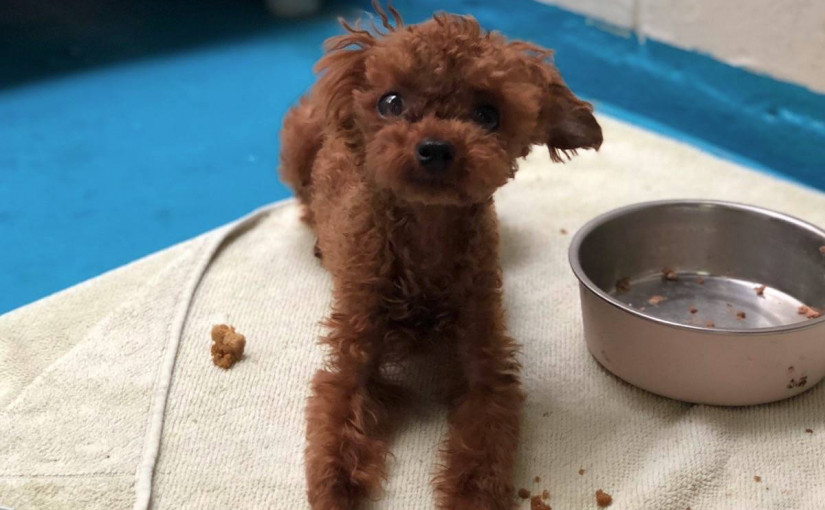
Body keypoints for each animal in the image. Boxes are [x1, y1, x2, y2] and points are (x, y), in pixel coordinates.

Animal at [279, 3, 602, 508]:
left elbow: (483, 441)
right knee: (304, 201)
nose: (434, 147)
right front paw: (338, 486)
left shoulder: (485, 362)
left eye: (488, 114)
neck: (426, 237)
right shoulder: (354, 354)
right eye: (390, 102)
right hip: (298, 144)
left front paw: (469, 494)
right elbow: (338, 418)